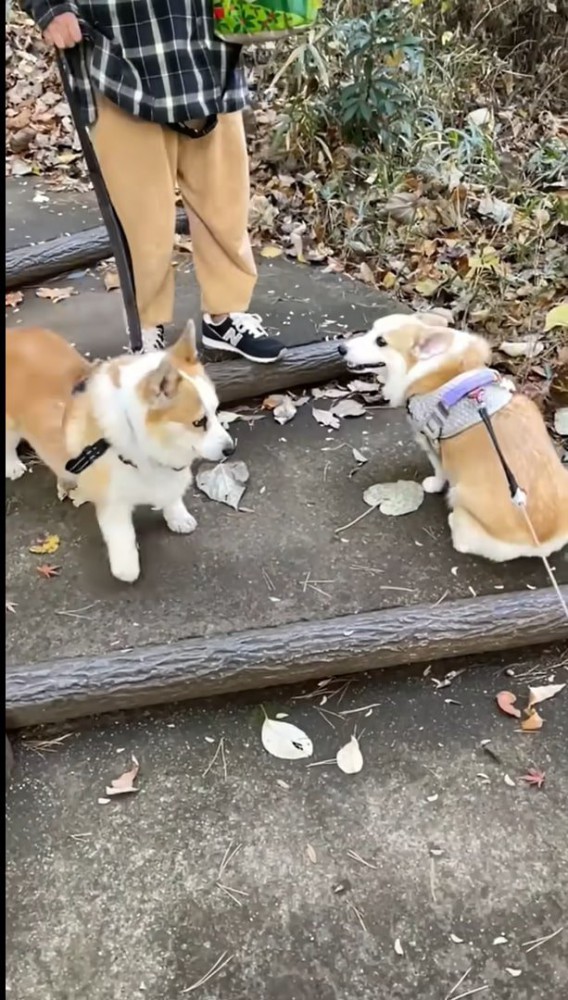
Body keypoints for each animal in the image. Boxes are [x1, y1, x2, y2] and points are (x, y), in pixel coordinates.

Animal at [6, 324, 233, 584]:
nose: (230, 449)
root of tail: (13, 332)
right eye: (199, 422)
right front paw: (126, 568)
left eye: (216, 411)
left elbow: (172, 493)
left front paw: (177, 516)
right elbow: (122, 539)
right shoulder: (113, 501)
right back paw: (13, 466)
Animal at [338, 312, 568, 564]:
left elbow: (439, 471)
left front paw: (433, 485)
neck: (429, 368)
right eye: (371, 330)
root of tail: (543, 542)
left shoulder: (431, 443)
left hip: (460, 495)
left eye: (381, 341)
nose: (341, 348)